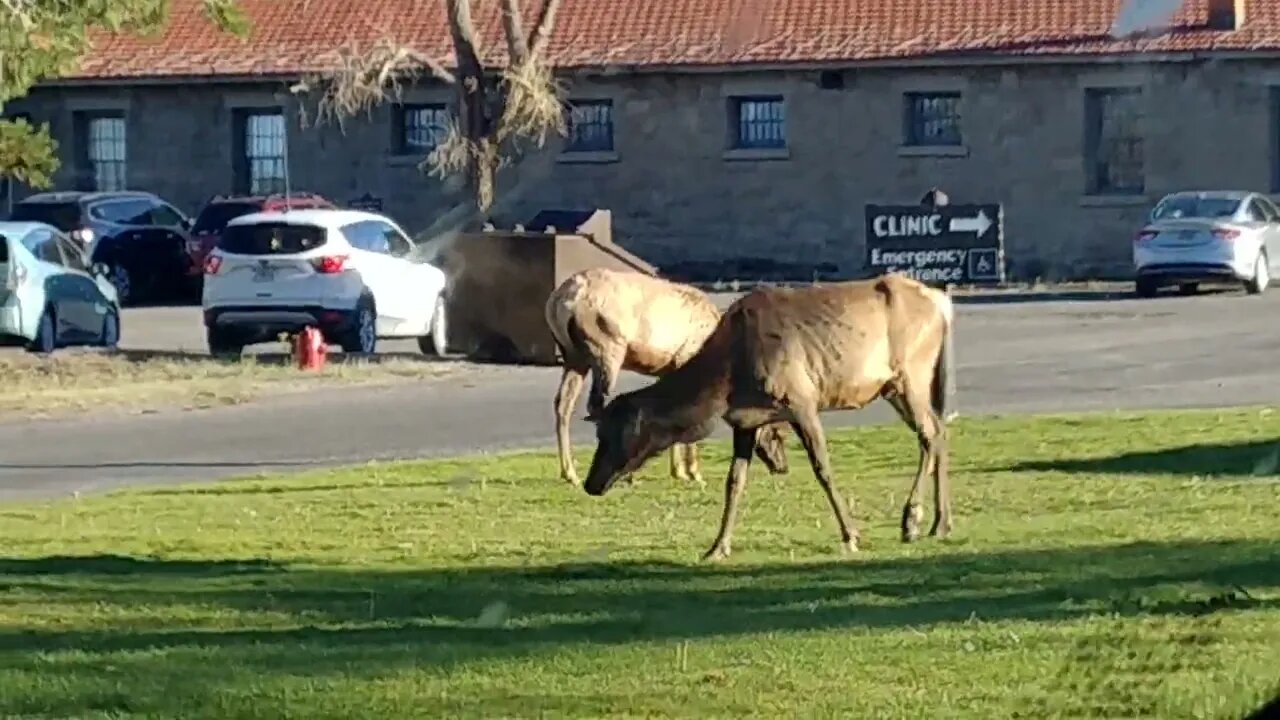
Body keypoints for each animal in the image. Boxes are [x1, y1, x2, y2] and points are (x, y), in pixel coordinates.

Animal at [542, 266, 788, 484]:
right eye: (777, 434)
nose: (782, 467)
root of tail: (558, 303)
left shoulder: (670, 368)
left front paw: (678, 471)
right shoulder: (685, 359)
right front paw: (693, 472)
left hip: (573, 356)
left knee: (563, 404)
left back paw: (570, 473)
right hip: (607, 348)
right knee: (596, 405)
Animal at [586, 271, 957, 558]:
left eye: (612, 434)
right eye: (600, 432)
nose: (591, 483)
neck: (726, 382)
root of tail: (942, 305)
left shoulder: (802, 401)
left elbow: (823, 469)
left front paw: (851, 535)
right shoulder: (744, 422)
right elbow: (734, 482)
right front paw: (717, 547)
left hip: (911, 373)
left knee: (929, 433)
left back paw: (914, 520)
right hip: (894, 387)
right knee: (938, 430)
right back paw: (940, 523)